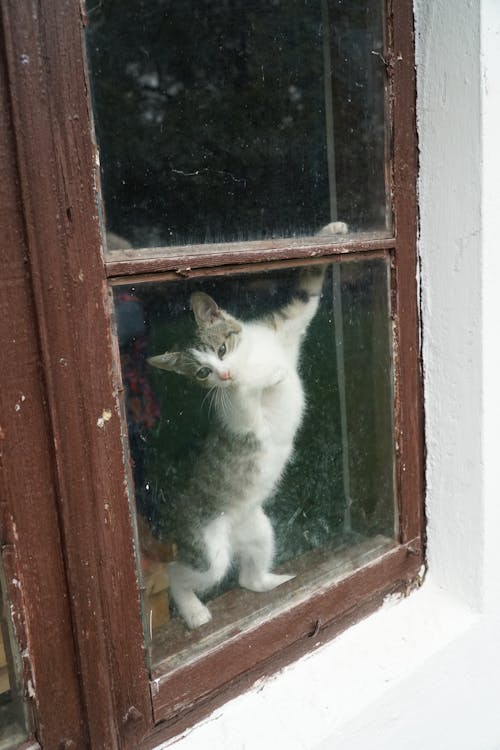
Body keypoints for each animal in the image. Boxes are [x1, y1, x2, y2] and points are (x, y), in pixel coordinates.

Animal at [147, 264, 328, 628]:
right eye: (202, 372)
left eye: (221, 350)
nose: (224, 374)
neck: (250, 357)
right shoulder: (240, 416)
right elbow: (245, 392)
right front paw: (267, 377)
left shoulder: (284, 328)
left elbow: (306, 299)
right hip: (208, 550)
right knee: (179, 574)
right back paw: (194, 612)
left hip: (259, 528)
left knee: (247, 577)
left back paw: (273, 581)